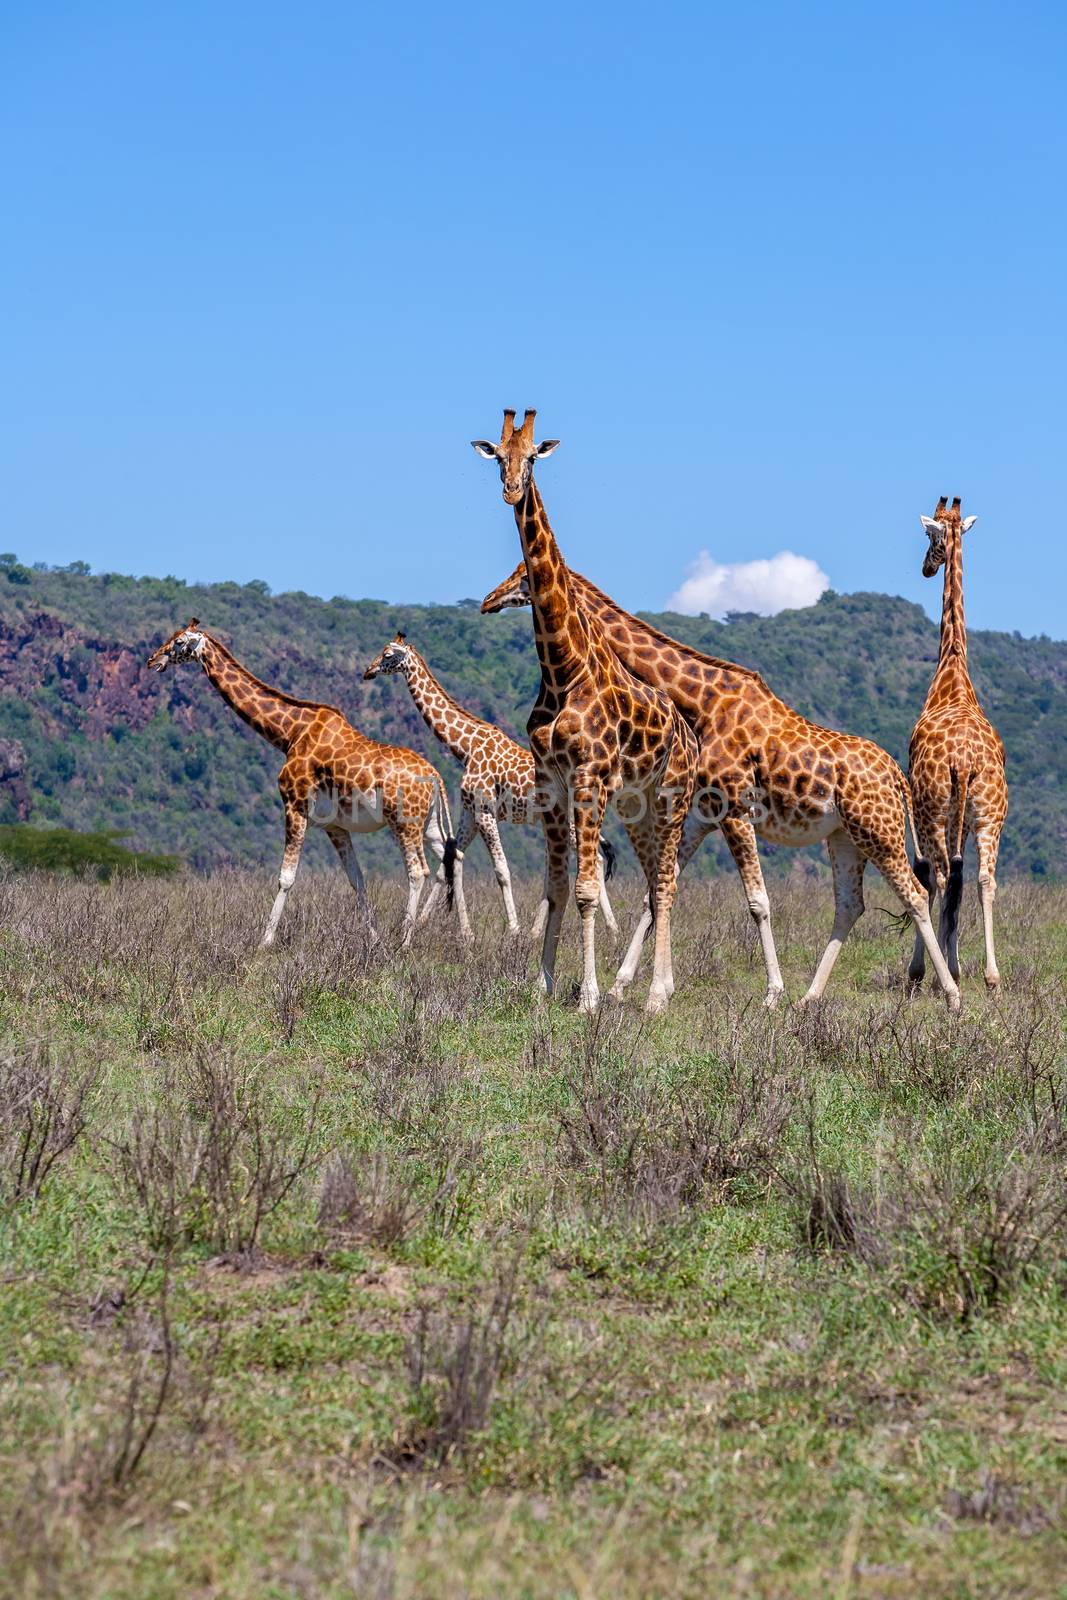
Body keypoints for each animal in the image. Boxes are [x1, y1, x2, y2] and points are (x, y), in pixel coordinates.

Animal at [143, 620, 457, 947]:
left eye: (179, 642)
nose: (153, 660)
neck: (289, 733)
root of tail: (436, 777)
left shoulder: (294, 807)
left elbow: (286, 878)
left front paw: (264, 942)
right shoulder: (335, 826)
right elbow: (357, 879)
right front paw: (373, 940)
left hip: (404, 822)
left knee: (418, 871)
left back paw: (405, 941)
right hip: (426, 824)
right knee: (446, 861)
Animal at [364, 630, 620, 940]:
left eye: (388, 655)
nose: (368, 671)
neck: (465, 747)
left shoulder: (486, 811)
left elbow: (501, 870)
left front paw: (513, 929)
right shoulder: (470, 812)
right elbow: (450, 861)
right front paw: (440, 925)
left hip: (571, 822)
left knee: (594, 861)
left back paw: (611, 929)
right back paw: (542, 931)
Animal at [470, 412, 697, 1011]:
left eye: (532, 457)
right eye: (498, 455)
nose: (511, 490)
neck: (561, 667)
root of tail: (690, 735)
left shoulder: (589, 777)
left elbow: (587, 890)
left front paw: (588, 997)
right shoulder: (550, 781)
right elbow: (554, 888)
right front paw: (541, 986)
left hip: (673, 797)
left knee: (667, 881)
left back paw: (657, 996)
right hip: (637, 805)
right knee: (654, 880)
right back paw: (652, 987)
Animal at [479, 556, 966, 1004]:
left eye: (521, 575)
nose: (488, 600)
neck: (701, 702)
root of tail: (898, 778)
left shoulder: (735, 808)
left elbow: (757, 900)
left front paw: (771, 993)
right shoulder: (702, 815)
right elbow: (656, 891)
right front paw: (622, 986)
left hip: (877, 830)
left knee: (916, 893)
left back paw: (950, 994)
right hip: (845, 836)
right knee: (851, 904)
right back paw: (811, 996)